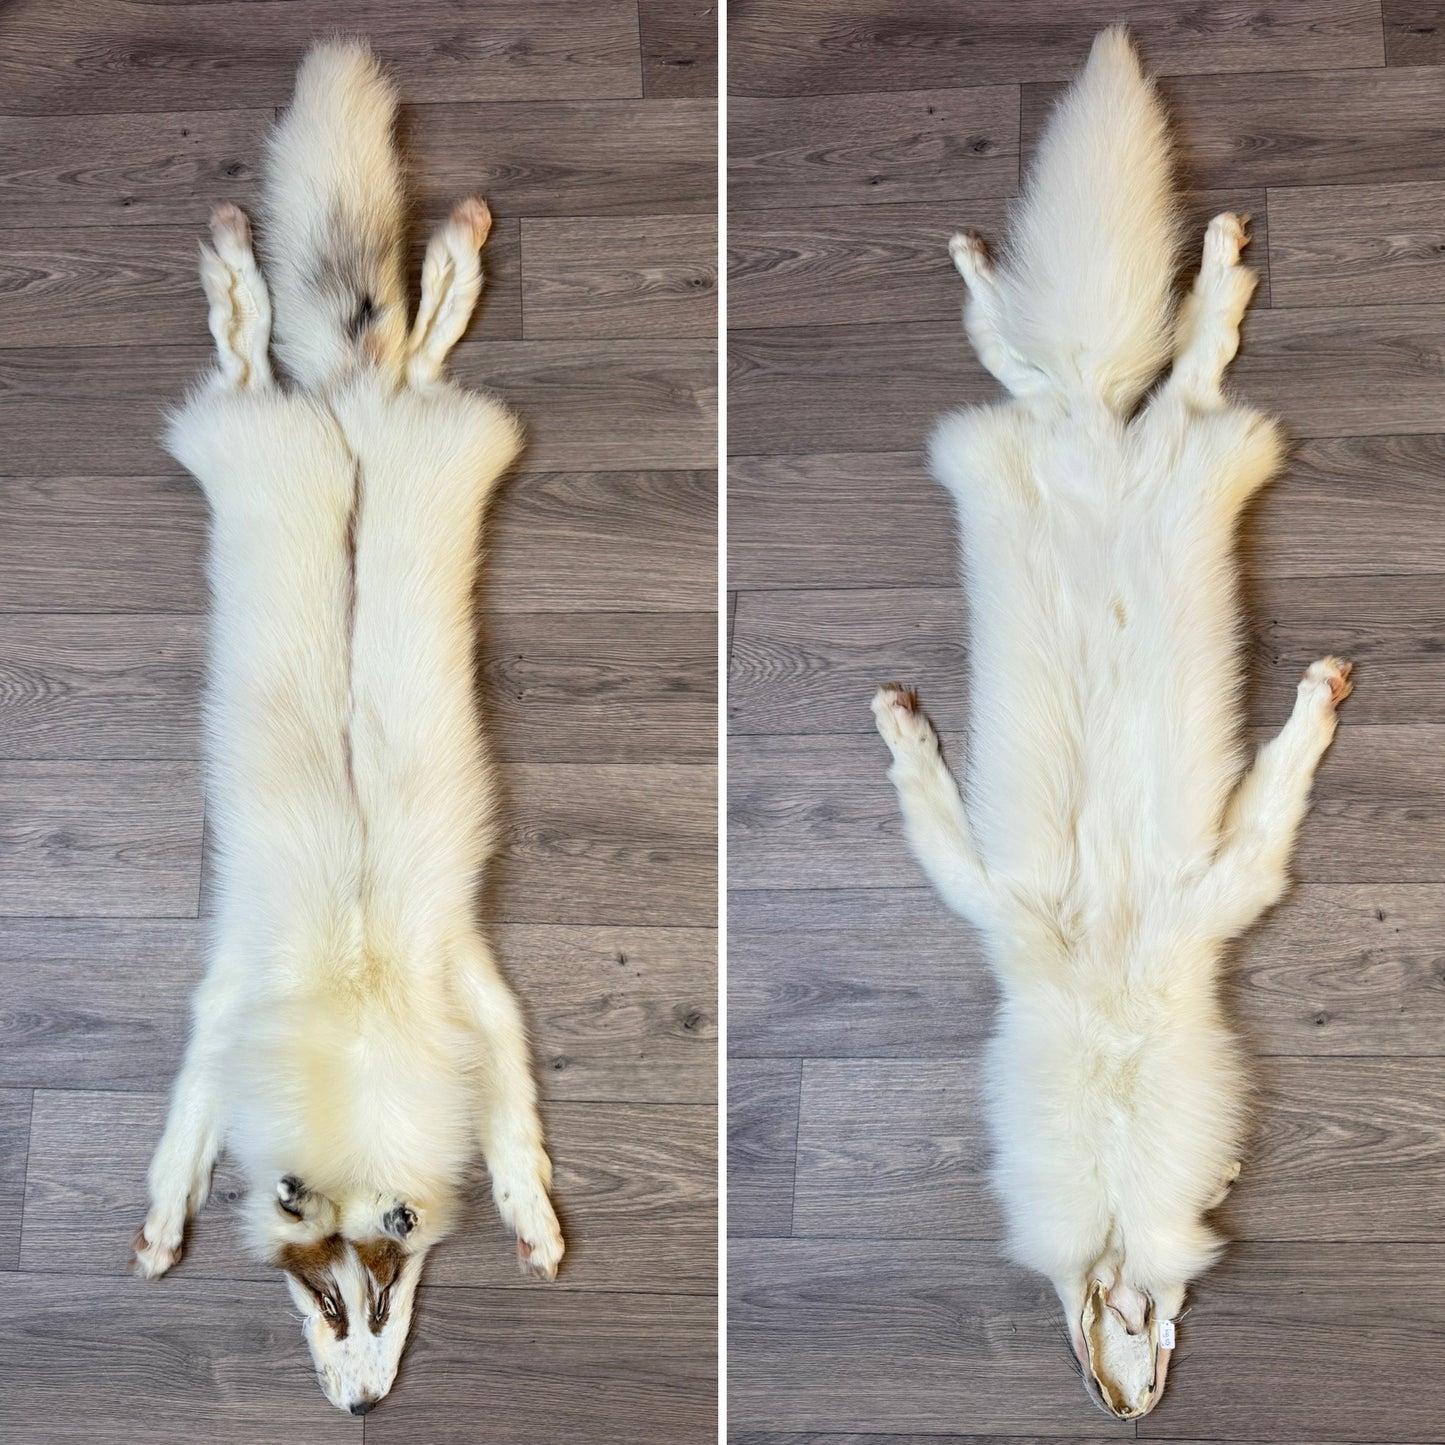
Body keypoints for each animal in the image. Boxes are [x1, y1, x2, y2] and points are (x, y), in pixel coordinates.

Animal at [132, 40, 562, 1415]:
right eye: (319, 1300)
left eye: (387, 1283)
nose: (364, 1401)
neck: (362, 978)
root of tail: (343, 411)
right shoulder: (232, 995)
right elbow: (185, 1125)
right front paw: (162, 1225)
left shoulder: (471, 979)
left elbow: (513, 1115)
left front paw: (534, 1215)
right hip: (258, 447)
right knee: (258, 351)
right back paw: (247, 259)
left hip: (412, 439)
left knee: (381, 349)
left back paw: (440, 253)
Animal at [871, 28, 1350, 1419]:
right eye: (1134, 1346)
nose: (1132, 1401)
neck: (1107, 1003)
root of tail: (1095, 434)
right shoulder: (1045, 900)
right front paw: (898, 725)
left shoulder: (1200, 895)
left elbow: (1281, 772)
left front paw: (1315, 695)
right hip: (1125, 440)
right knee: (1128, 364)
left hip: (1168, 449)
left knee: (1159, 360)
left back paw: (1197, 258)